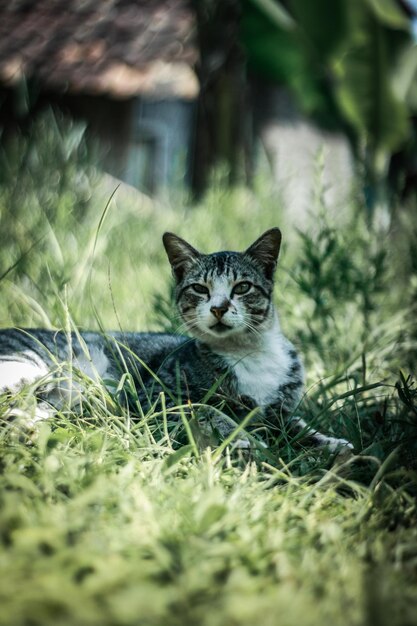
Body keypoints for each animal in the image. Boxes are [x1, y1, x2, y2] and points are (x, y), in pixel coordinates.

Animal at [0, 228, 352, 448]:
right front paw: (246, 439)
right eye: (200, 288)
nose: (219, 307)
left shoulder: (280, 411)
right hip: (30, 368)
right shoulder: (156, 397)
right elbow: (208, 409)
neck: (249, 352)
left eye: (242, 287)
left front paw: (332, 442)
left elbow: (299, 427)